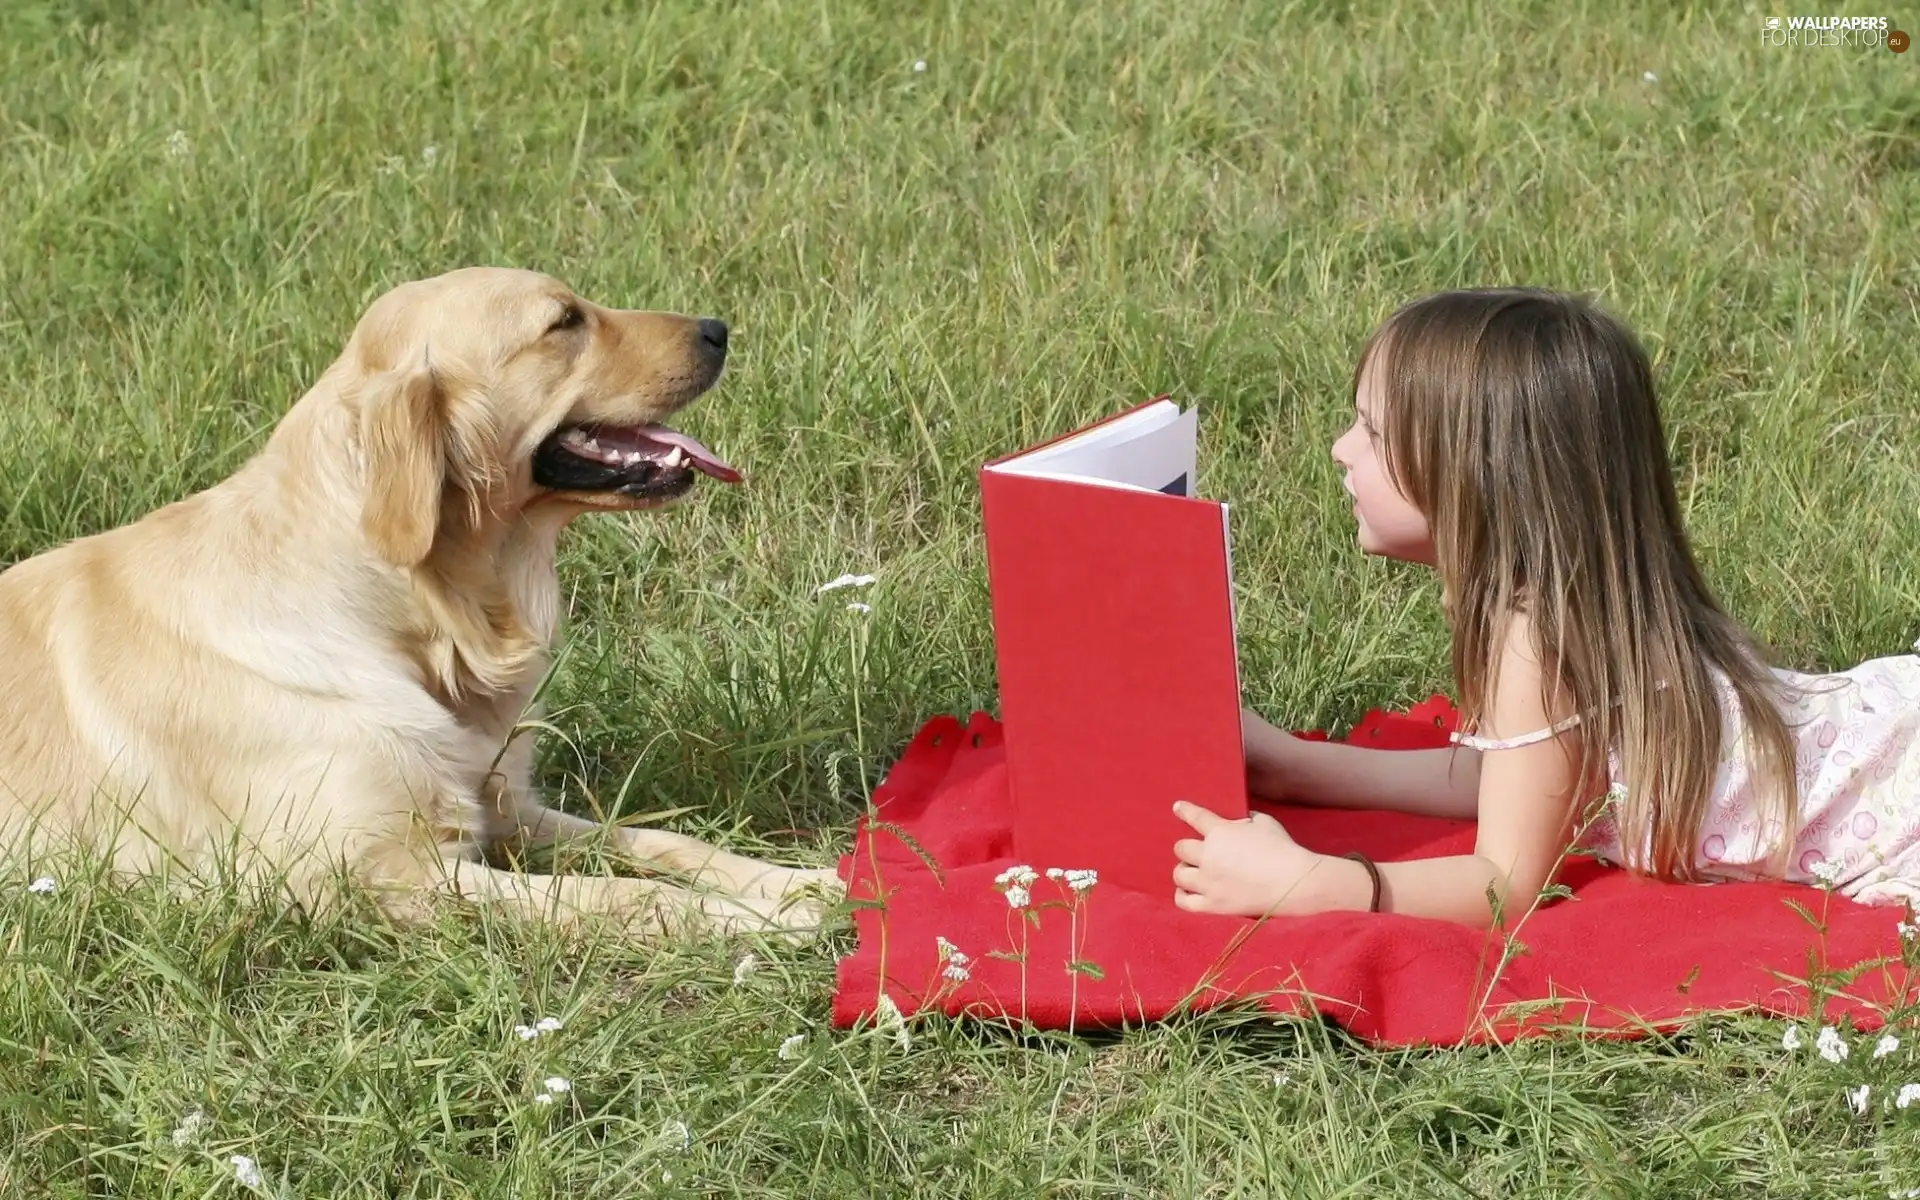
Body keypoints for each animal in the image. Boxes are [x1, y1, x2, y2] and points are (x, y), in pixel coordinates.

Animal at [0, 266, 840, 940]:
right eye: (563, 321)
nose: (718, 329)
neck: (418, 625)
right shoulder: (373, 875)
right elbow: (617, 895)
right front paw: (764, 921)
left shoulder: (500, 802)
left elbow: (662, 842)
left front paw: (807, 884)